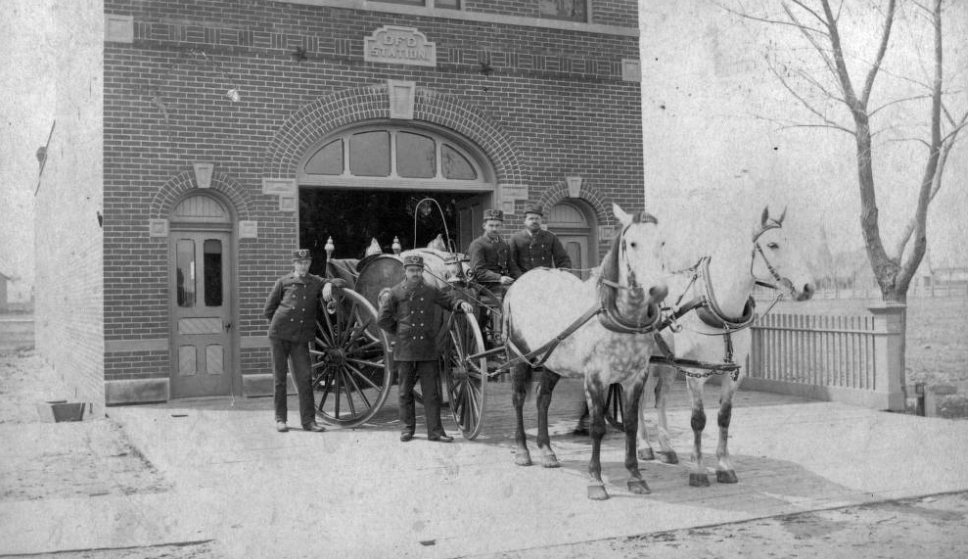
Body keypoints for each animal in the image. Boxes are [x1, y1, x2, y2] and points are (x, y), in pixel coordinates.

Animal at [502, 203, 668, 500]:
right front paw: (596, 480)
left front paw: (635, 476)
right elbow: (597, 427)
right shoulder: (595, 377)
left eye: (662, 242)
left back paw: (546, 450)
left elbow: (631, 424)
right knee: (518, 398)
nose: (658, 290)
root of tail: (521, 281)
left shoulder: (636, 377)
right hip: (518, 356)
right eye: (632, 243)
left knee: (542, 398)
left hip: (553, 361)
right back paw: (522, 450)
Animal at [640, 208, 812, 488]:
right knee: (637, 401)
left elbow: (724, 417)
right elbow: (698, 420)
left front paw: (724, 466)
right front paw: (698, 470)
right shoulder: (695, 374)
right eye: (772, 245)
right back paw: (644, 446)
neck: (717, 309)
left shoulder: (733, 374)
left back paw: (666, 448)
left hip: (668, 364)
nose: (808, 287)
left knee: (660, 397)